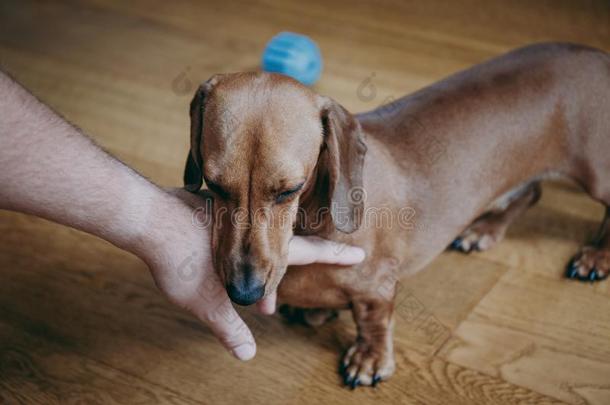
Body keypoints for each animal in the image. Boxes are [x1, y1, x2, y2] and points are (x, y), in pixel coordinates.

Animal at [184, 42, 608, 386]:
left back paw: (596, 256)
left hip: (598, 175)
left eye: (289, 189)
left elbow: (373, 319)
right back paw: (484, 229)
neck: (311, 221)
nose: (244, 293)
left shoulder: (378, 285)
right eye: (214, 184)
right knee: (532, 192)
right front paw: (317, 312)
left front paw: (370, 360)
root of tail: (598, 56)